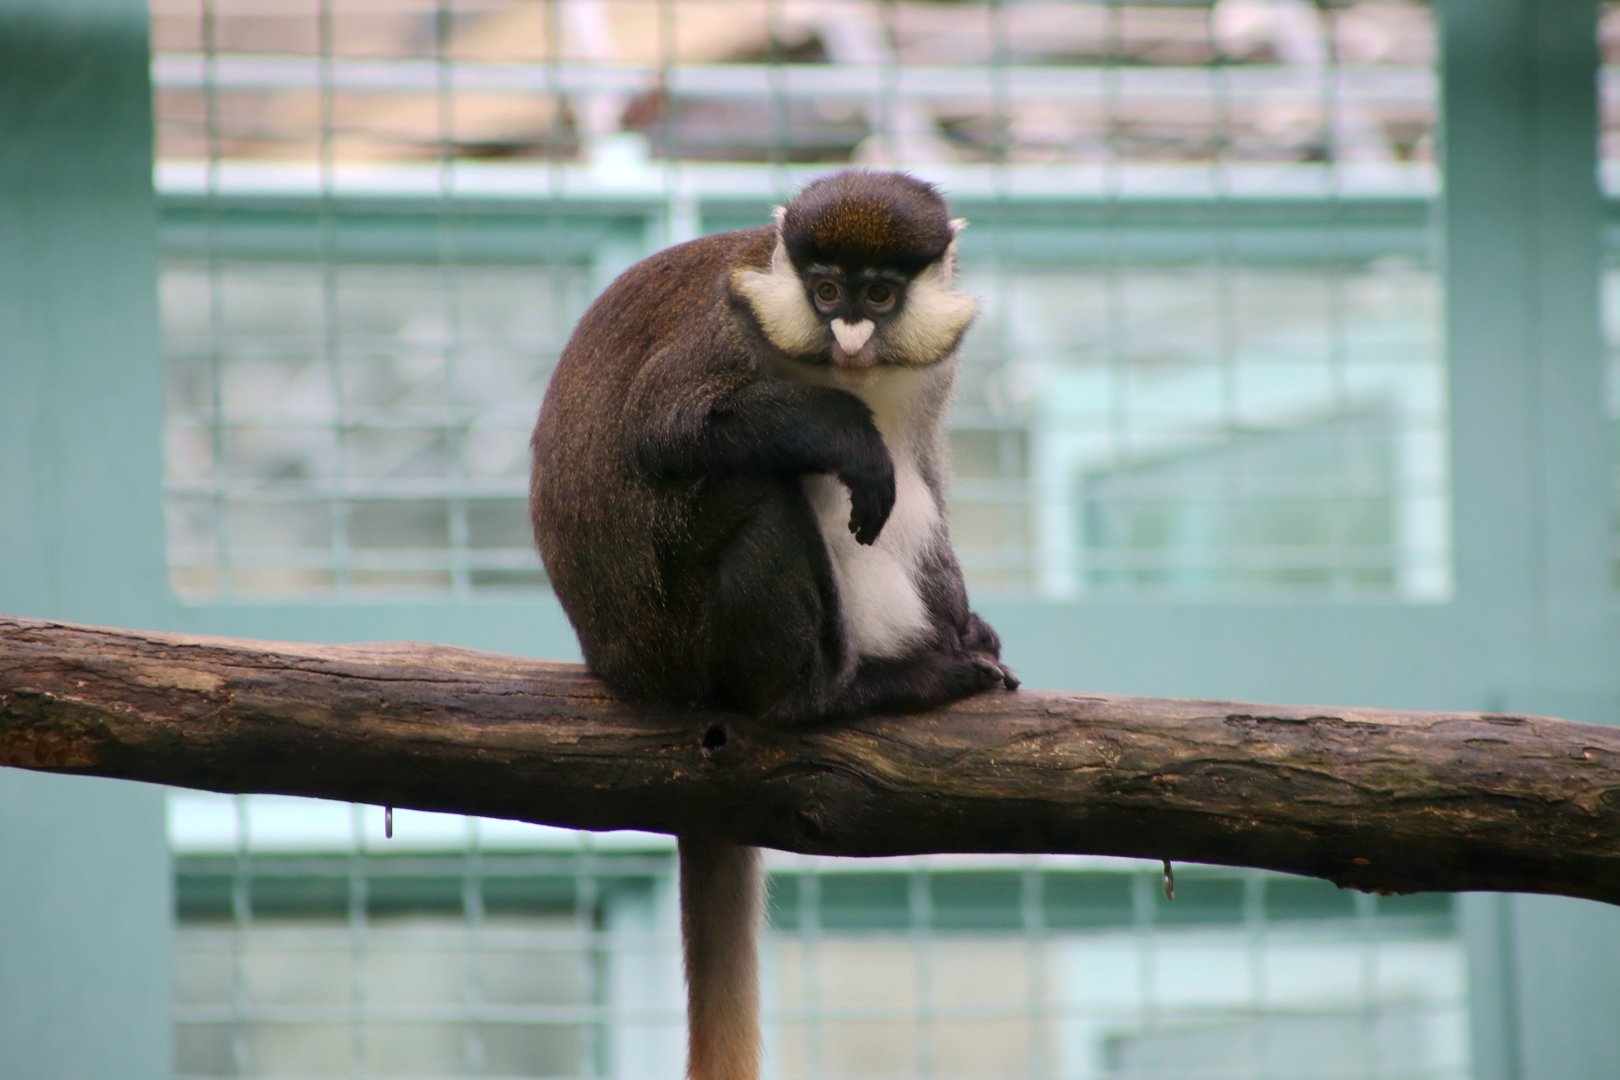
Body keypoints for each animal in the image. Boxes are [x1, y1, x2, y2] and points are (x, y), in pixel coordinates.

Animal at [529, 169, 1016, 1080]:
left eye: (879, 294)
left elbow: (925, 478)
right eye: (825, 292)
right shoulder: (721, 332)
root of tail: (618, 662)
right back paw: (839, 693)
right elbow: (665, 428)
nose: (851, 335)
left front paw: (971, 624)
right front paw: (848, 436)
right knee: (760, 489)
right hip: (687, 639)